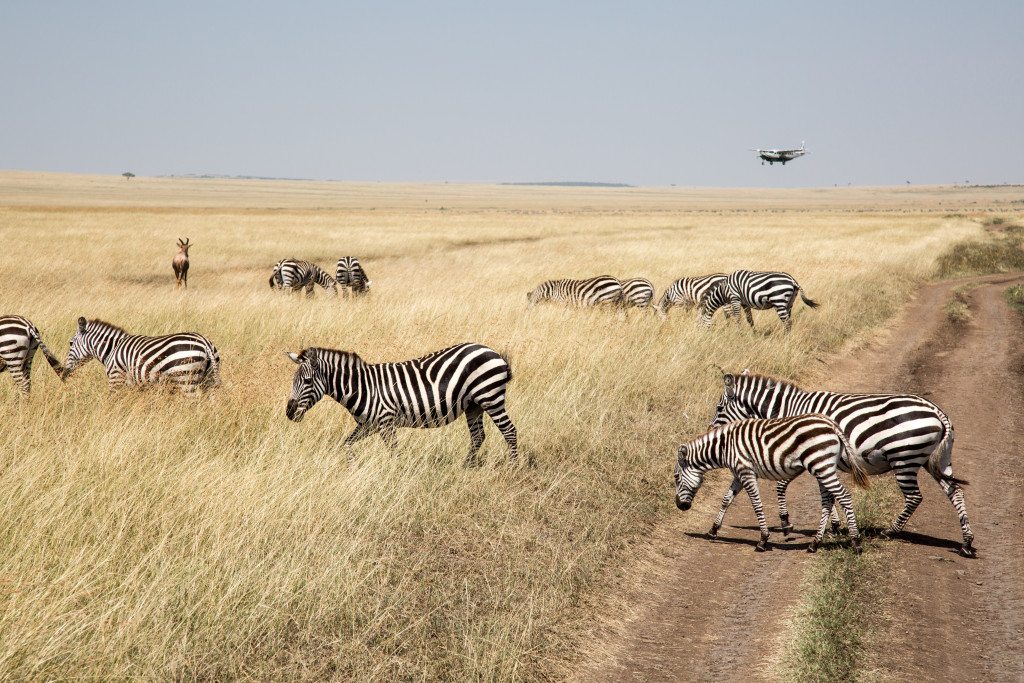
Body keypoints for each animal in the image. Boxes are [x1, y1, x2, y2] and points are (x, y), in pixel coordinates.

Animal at [64, 317, 222, 393]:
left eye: (70, 343)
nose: (64, 371)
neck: (112, 350)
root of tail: (205, 343)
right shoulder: (136, 384)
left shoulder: (116, 378)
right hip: (208, 379)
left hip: (185, 379)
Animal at [286, 342, 520, 464]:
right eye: (293, 381)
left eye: (307, 381)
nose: (289, 412)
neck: (363, 387)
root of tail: (491, 351)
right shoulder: (367, 424)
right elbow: (347, 444)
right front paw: (353, 464)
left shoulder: (385, 422)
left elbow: (394, 453)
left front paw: (395, 476)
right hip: (473, 405)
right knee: (478, 436)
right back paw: (466, 466)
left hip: (490, 397)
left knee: (509, 431)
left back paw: (513, 467)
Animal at [675, 413, 868, 552]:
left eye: (676, 477)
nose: (679, 506)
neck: (725, 446)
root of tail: (832, 425)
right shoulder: (738, 474)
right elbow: (726, 500)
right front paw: (713, 530)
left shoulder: (746, 472)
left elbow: (756, 504)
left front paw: (763, 540)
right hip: (823, 468)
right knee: (827, 501)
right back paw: (814, 544)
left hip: (821, 465)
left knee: (844, 496)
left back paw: (856, 542)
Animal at [704, 370, 974, 557]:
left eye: (718, 407)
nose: (710, 431)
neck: (790, 408)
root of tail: (937, 412)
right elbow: (828, 495)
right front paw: (833, 525)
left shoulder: (802, 453)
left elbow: (783, 486)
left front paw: (786, 523)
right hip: (936, 459)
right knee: (955, 492)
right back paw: (967, 543)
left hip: (904, 457)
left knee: (914, 497)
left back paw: (890, 531)